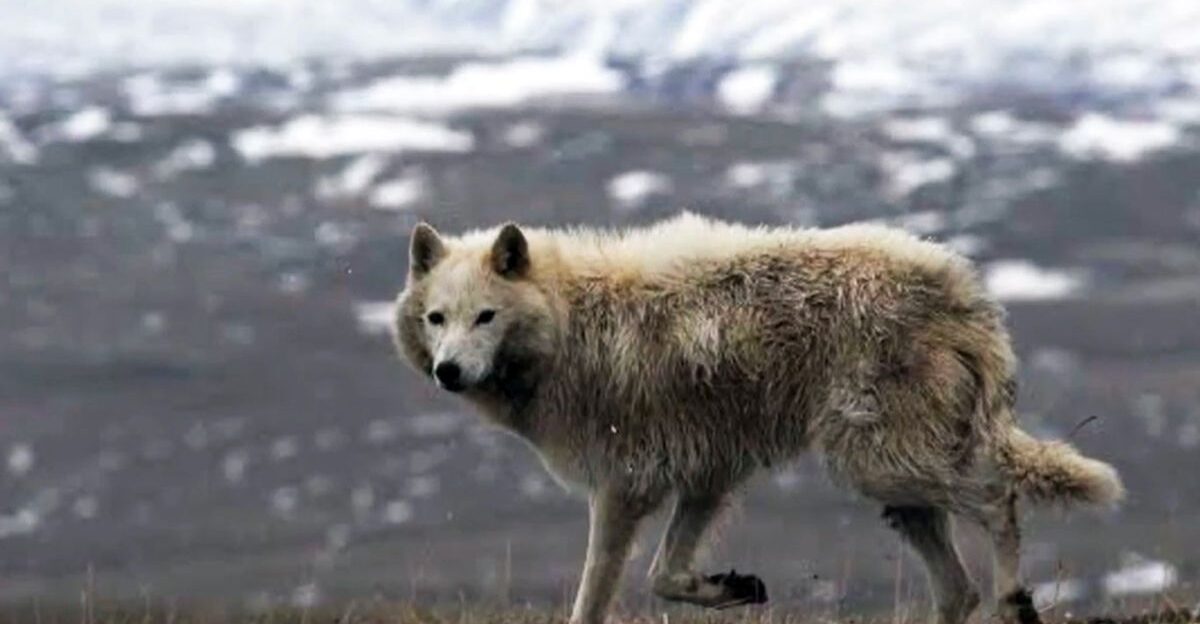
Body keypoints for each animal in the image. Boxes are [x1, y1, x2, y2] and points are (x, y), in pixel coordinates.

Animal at [390, 213, 1123, 624]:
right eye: (437, 319)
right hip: (895, 487)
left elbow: (596, 595)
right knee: (957, 588)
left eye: (486, 316)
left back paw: (1015, 599)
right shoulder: (706, 475)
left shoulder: (622, 489)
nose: (448, 371)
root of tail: (964, 288)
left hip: (881, 464)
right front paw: (731, 587)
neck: (570, 327)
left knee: (998, 501)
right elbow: (665, 577)